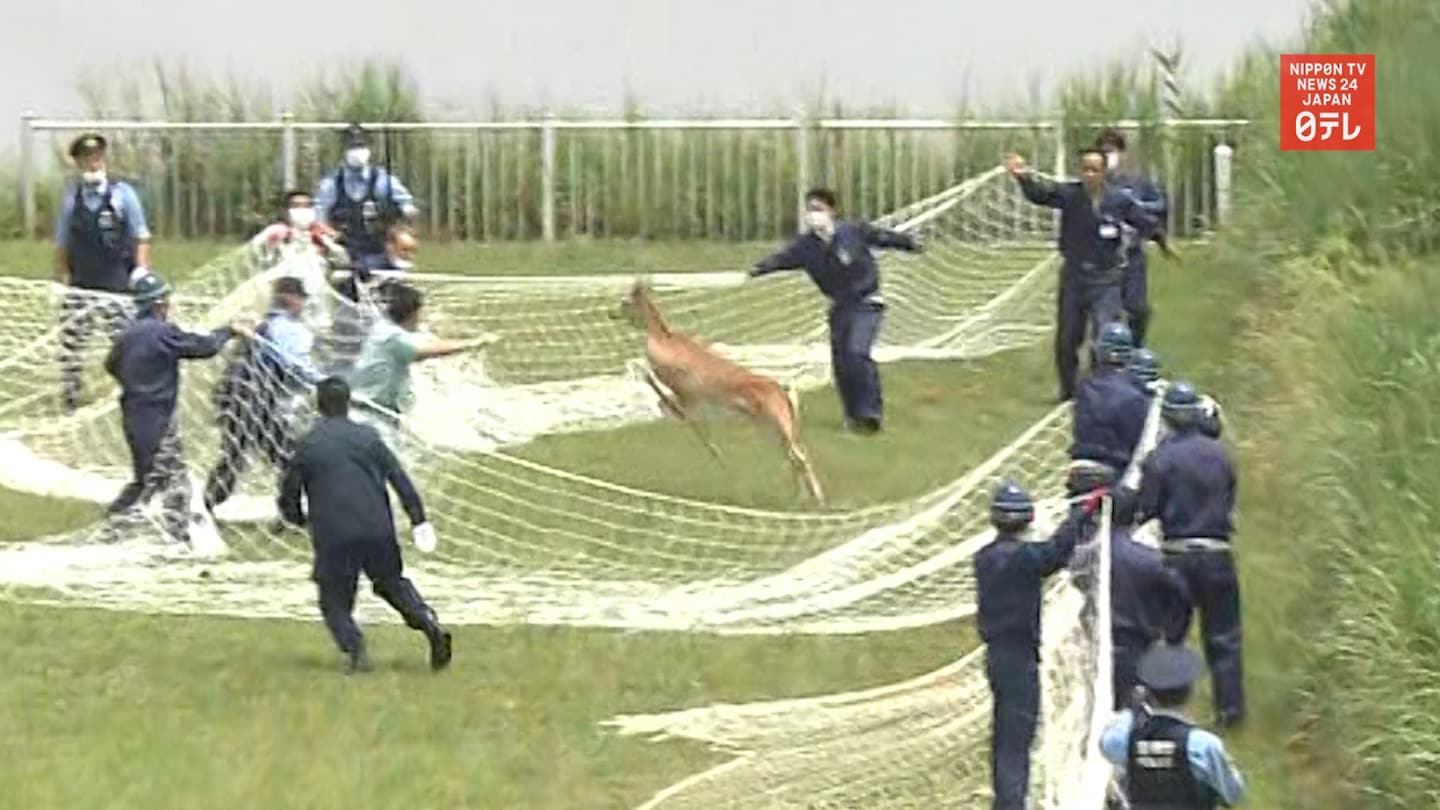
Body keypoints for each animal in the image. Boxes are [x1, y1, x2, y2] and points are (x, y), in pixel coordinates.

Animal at [610, 281, 829, 501]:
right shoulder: (692, 401)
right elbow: (682, 416)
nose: (611, 314)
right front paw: (718, 456)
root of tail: (784, 392)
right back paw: (802, 497)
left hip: (776, 425)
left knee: (800, 457)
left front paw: (719, 457)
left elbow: (671, 405)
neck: (665, 342)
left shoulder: (688, 394)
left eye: (625, 302)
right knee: (796, 456)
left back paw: (814, 498)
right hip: (777, 430)